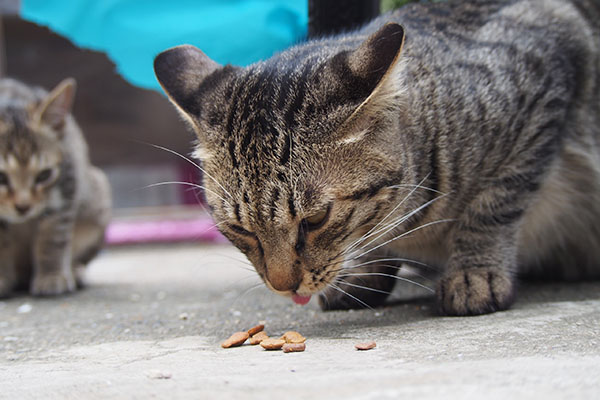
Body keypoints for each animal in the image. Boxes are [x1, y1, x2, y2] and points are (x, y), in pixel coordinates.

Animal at [0, 79, 112, 296]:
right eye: (1, 177)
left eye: (44, 175)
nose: (23, 207)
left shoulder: (65, 191)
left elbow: (53, 238)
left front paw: (51, 277)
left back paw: (75, 271)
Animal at [154, 0, 600, 316]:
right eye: (238, 229)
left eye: (316, 219)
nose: (284, 286)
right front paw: (364, 270)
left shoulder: (551, 56)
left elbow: (493, 204)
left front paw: (475, 272)